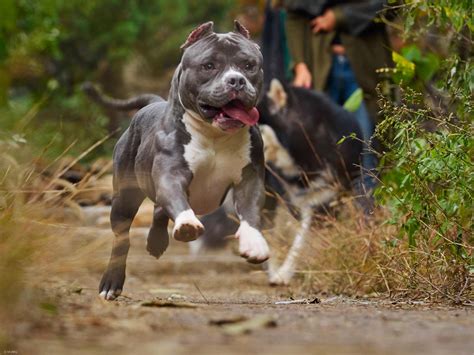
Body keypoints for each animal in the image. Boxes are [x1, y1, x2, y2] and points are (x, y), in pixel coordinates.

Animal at [99, 21, 270, 300]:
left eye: (249, 65)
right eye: (209, 65)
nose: (236, 80)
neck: (215, 136)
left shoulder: (250, 177)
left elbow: (251, 210)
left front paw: (254, 242)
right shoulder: (171, 175)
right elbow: (175, 198)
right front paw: (188, 223)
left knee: (159, 208)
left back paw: (156, 242)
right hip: (124, 197)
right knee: (122, 236)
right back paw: (111, 282)